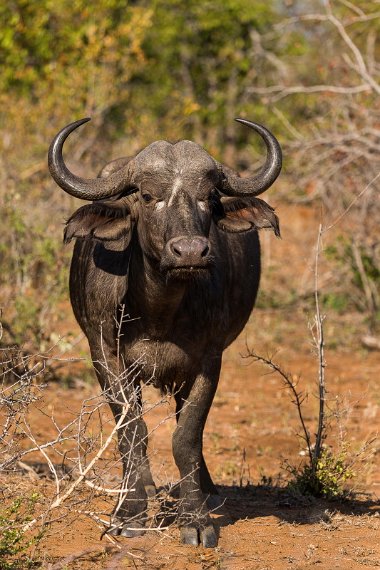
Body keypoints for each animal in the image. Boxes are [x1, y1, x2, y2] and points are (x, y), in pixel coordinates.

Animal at [47, 116, 280, 544]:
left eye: (209, 196)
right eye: (146, 195)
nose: (190, 252)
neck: (159, 312)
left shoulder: (209, 361)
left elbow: (186, 436)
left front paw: (196, 517)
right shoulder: (105, 356)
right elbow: (132, 432)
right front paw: (131, 512)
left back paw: (206, 490)